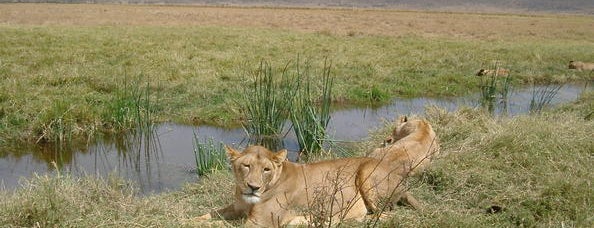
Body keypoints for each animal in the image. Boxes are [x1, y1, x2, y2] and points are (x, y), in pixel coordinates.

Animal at [197, 145, 418, 227]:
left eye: (266, 169)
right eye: (246, 166)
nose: (254, 187)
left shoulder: (261, 222)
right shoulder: (235, 209)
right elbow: (209, 215)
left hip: (366, 172)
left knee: (382, 215)